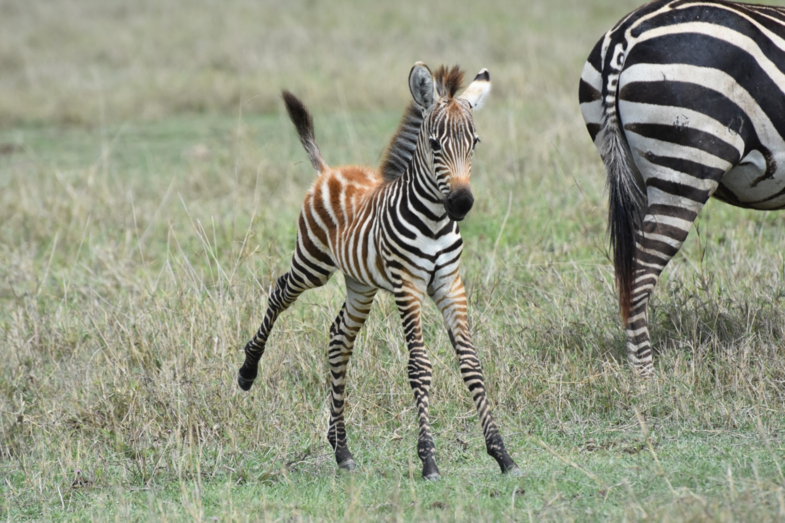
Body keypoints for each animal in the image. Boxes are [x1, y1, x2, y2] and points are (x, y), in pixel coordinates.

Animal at [238, 63, 521, 480]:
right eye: (435, 145)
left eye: (475, 142)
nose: (461, 203)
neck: (434, 220)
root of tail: (328, 171)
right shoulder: (408, 286)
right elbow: (419, 368)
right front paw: (429, 460)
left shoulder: (450, 284)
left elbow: (471, 364)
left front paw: (502, 454)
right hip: (312, 264)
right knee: (278, 292)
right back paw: (248, 370)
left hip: (360, 286)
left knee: (339, 338)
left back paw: (341, 448)